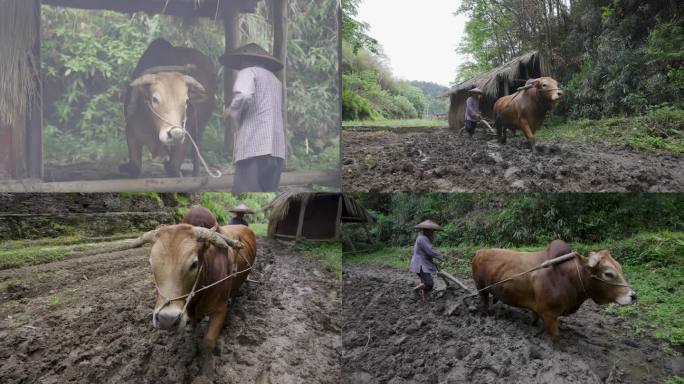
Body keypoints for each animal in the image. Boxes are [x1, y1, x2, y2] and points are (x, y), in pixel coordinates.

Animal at [118, 38, 214, 177]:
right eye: (155, 99)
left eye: (186, 101)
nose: (175, 134)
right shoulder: (131, 133)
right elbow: (135, 166)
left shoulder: (185, 137)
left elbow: (173, 167)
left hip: (199, 130)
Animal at [472, 240, 640, 340]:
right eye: (608, 274)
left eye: (620, 268)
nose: (633, 296)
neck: (567, 277)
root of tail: (479, 252)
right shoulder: (550, 314)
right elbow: (556, 337)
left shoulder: (540, 310)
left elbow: (534, 319)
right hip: (481, 288)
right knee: (484, 302)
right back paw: (485, 314)